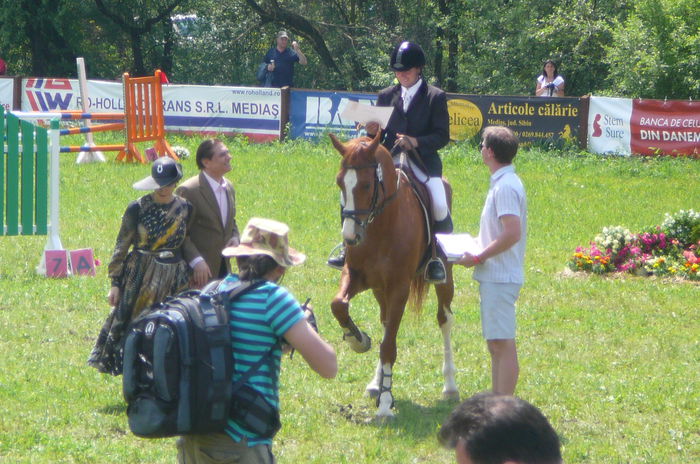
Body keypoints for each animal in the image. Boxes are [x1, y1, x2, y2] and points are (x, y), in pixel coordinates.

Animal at [330, 130, 460, 416]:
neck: (380, 225)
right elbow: (338, 305)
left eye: (367, 185)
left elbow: (389, 345)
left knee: (444, 319)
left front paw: (386, 404)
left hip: (443, 279)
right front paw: (358, 340)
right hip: (380, 289)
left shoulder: (399, 287)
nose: (350, 237)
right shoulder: (356, 275)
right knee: (386, 323)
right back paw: (375, 383)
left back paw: (449, 386)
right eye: (339, 183)